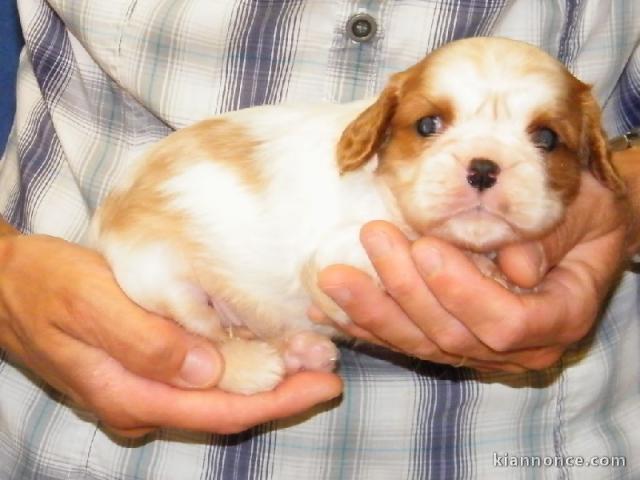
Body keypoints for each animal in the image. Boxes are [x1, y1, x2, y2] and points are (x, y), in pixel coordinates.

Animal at [91, 38, 624, 394]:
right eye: (428, 125)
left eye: (547, 138)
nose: (483, 168)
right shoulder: (342, 252)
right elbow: (419, 243)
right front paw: (486, 268)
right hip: (162, 280)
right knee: (205, 338)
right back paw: (258, 365)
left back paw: (298, 350)